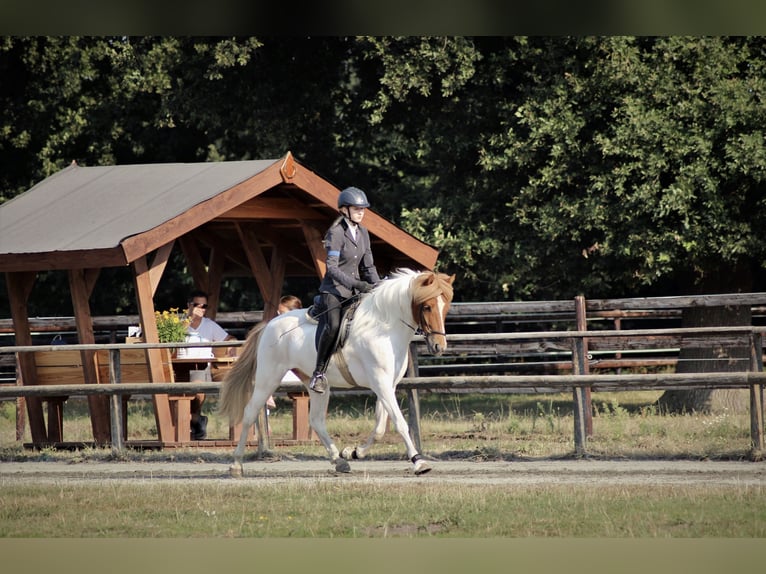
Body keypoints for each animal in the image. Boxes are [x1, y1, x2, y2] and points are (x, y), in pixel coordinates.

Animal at [216, 270, 456, 476]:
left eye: (445, 307)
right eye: (427, 307)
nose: (439, 346)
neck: (384, 328)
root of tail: (268, 324)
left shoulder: (387, 384)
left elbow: (380, 426)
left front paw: (354, 452)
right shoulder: (380, 383)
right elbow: (399, 422)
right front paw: (419, 462)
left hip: (315, 385)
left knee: (316, 420)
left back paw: (339, 460)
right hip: (268, 378)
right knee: (249, 413)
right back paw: (236, 464)